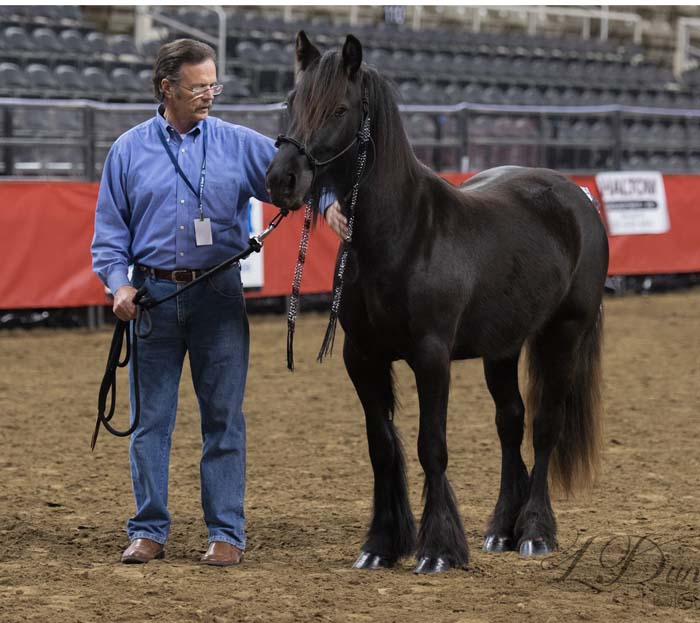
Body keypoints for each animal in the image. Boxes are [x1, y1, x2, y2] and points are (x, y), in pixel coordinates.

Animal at [266, 31, 608, 572]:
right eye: (291, 102)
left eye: (339, 108)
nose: (282, 180)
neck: (401, 235)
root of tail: (578, 197)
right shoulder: (361, 357)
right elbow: (382, 446)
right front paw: (381, 545)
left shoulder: (431, 358)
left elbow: (432, 447)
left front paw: (439, 550)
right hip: (502, 348)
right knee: (510, 422)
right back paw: (501, 530)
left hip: (563, 334)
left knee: (544, 426)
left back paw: (535, 532)